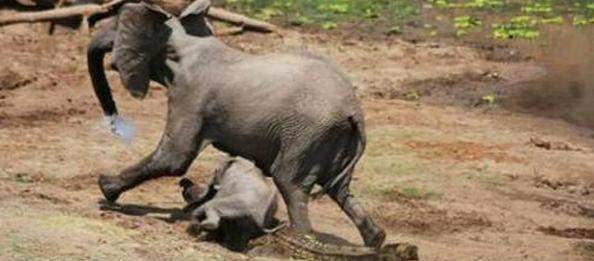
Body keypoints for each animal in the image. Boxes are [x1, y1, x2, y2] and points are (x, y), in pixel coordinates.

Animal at [86, 0, 384, 248]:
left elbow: (174, 158)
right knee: (340, 190)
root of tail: (354, 110)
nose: (115, 123)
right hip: (334, 138)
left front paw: (105, 189)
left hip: (308, 134)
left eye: (115, 26)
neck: (183, 38)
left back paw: (302, 240)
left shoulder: (190, 94)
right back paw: (375, 241)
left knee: (290, 183)